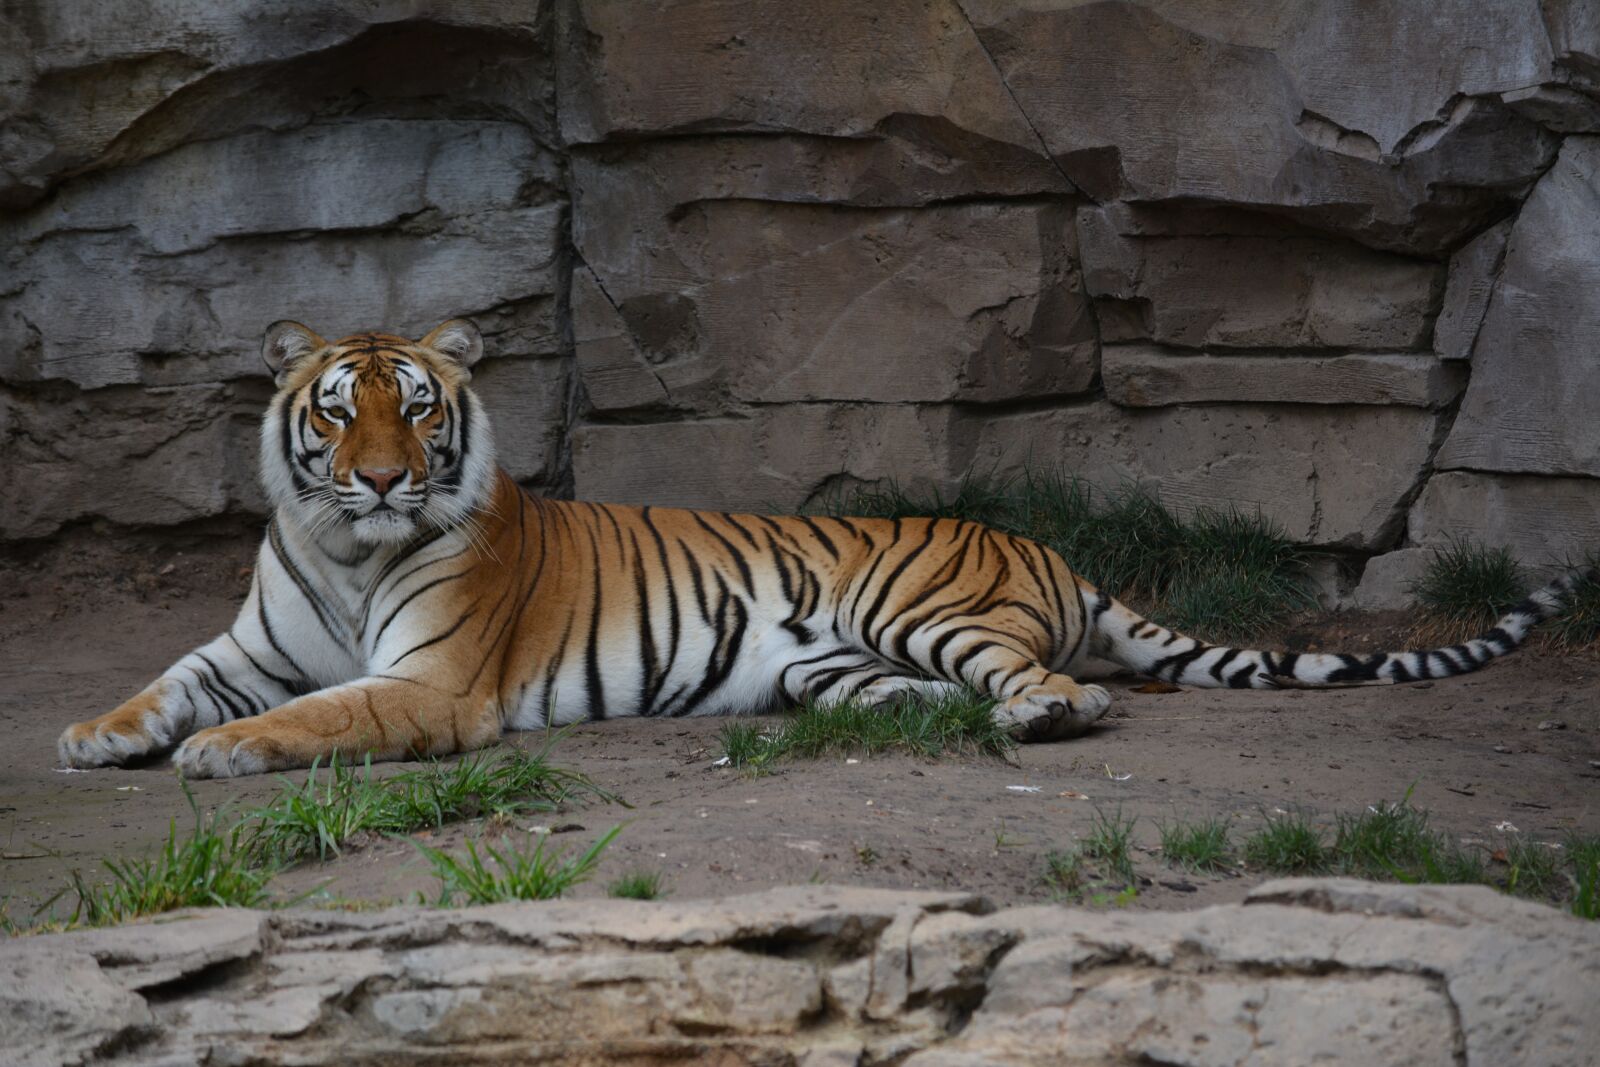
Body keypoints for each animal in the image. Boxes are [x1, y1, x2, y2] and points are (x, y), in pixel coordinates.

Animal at [57, 318, 1591, 778]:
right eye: (336, 407)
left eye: (417, 407)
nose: (379, 476)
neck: (344, 547)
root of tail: (1055, 555)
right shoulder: (248, 643)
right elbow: (171, 680)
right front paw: (94, 730)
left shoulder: (430, 683)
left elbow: (319, 712)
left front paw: (222, 753)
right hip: (828, 665)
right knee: (924, 698)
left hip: (928, 605)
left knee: (1059, 684)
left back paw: (1047, 713)